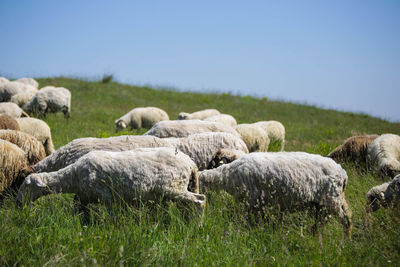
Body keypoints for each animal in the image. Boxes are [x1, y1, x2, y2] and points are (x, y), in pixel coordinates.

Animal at [16, 147, 206, 214]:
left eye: (26, 186)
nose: (17, 204)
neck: (73, 176)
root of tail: (190, 163)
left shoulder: (107, 196)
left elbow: (111, 215)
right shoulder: (83, 197)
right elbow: (78, 211)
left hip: (174, 188)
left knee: (200, 201)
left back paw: (196, 225)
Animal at [198, 152, 352, 236]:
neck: (229, 175)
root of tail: (343, 173)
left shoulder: (253, 201)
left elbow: (249, 221)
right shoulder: (259, 203)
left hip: (331, 200)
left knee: (345, 220)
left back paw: (345, 242)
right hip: (327, 203)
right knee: (331, 219)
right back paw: (313, 235)